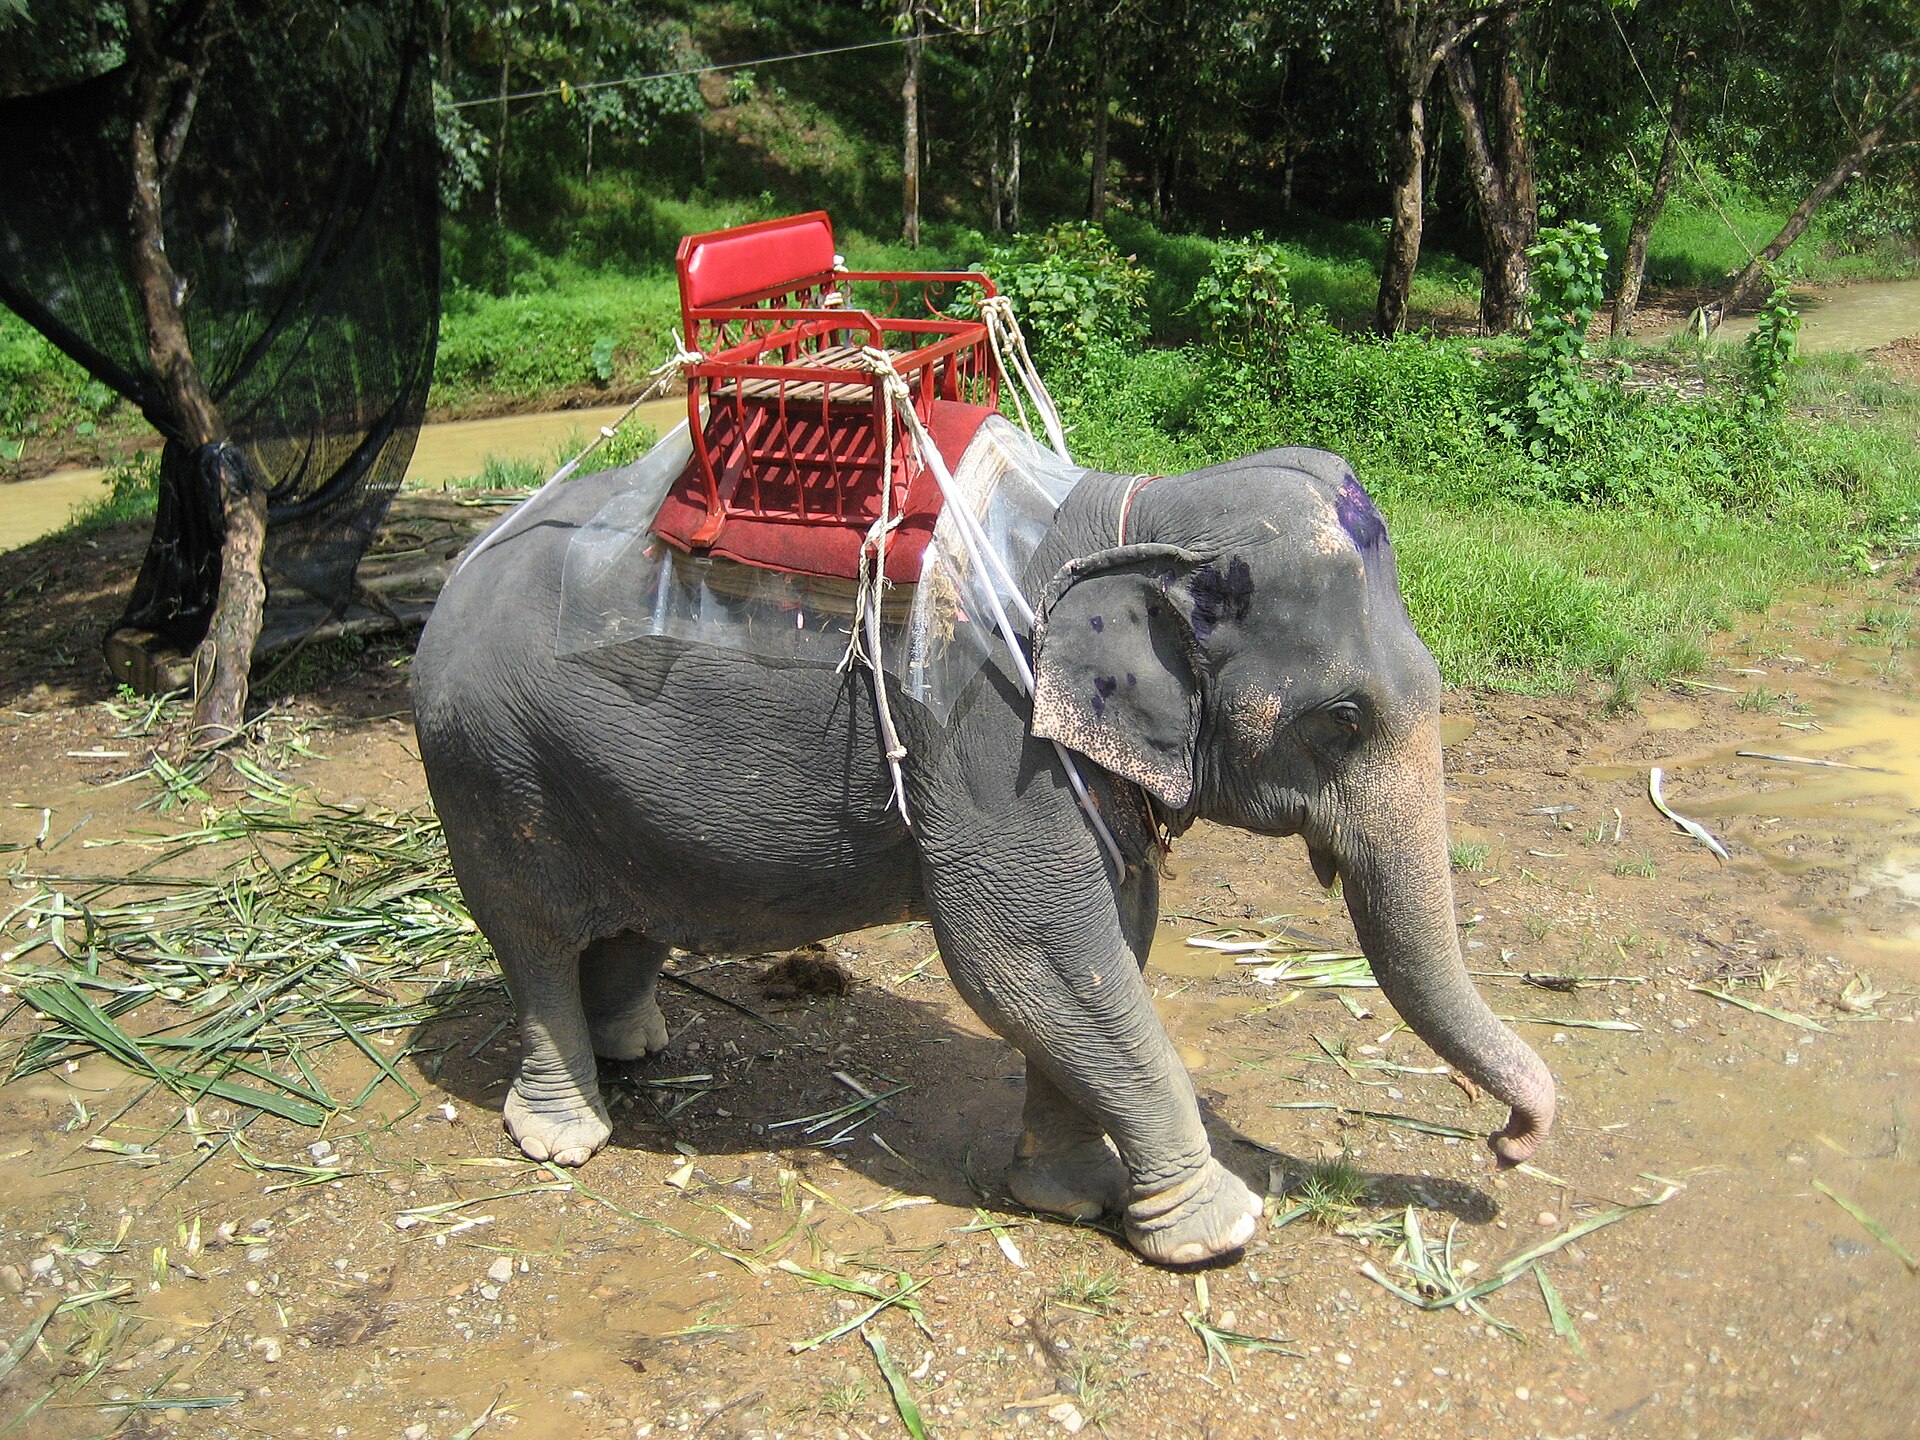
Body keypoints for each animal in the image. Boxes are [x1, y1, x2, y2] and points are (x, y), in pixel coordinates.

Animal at [411, 441, 1555, 1267]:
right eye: (1342, 721)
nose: (1508, 1143)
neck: (1135, 513)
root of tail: (455, 571)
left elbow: (1105, 951)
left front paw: (1072, 1195)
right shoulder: (996, 741)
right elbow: (1024, 956)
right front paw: (1216, 1230)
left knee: (630, 918)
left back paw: (636, 1044)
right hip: (488, 769)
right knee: (531, 938)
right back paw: (564, 1133)